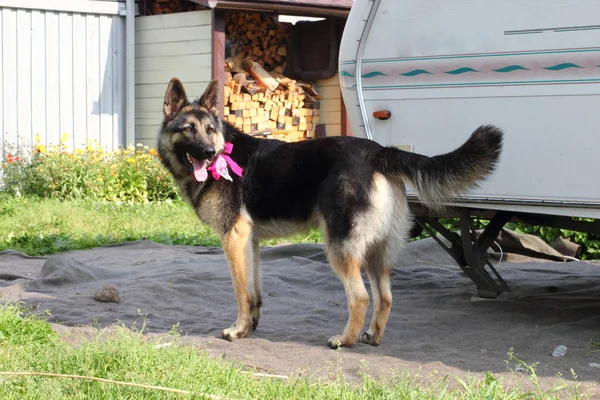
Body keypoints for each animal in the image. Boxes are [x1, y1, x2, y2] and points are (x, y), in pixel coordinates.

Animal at [156, 77, 502, 346]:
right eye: (189, 129)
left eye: (209, 129)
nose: (209, 153)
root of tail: (379, 153)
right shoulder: (249, 242)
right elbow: (254, 291)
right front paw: (250, 328)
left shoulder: (233, 239)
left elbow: (241, 290)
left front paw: (238, 331)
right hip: (376, 252)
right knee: (385, 297)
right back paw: (372, 337)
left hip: (339, 247)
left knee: (360, 297)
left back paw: (345, 340)